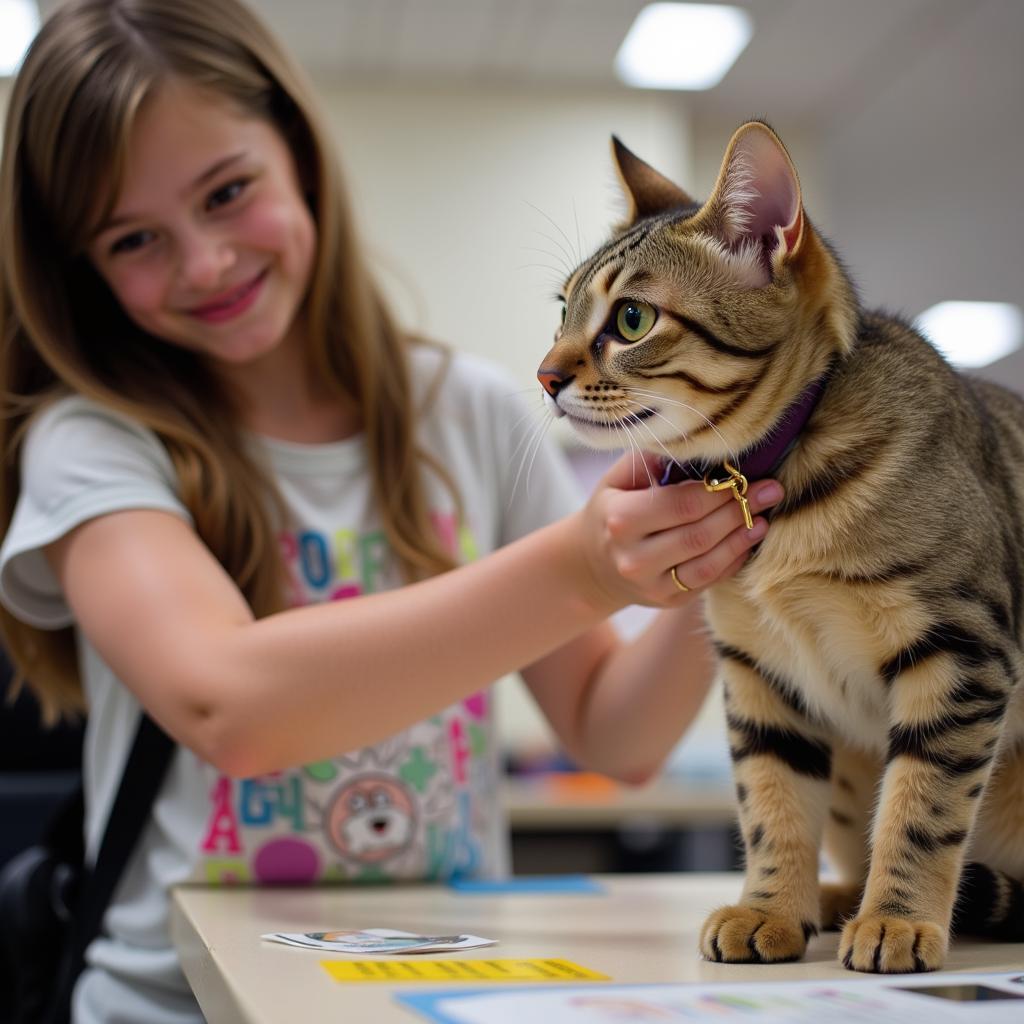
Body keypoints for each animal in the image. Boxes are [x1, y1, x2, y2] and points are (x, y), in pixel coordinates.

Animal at [536, 121, 1024, 974]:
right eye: (562, 311)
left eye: (630, 320)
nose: (542, 376)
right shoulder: (760, 671)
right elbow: (773, 803)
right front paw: (770, 908)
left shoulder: (960, 651)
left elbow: (923, 805)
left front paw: (897, 918)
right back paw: (834, 898)